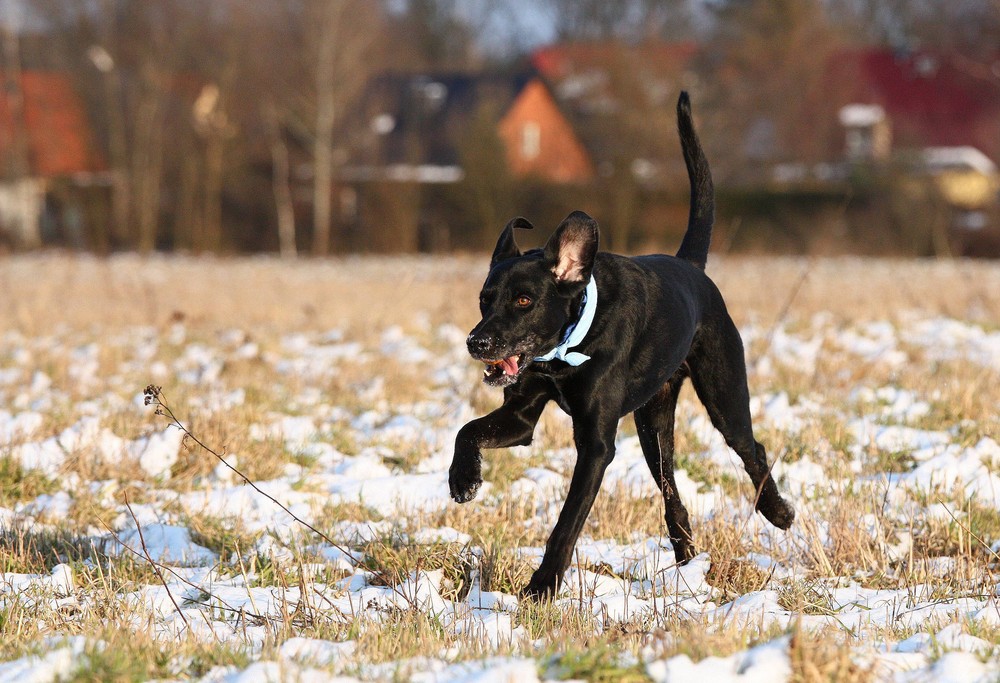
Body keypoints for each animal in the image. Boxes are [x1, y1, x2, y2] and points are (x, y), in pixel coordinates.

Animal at [450, 91, 792, 600]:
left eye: (524, 300)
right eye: (484, 299)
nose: (477, 341)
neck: (568, 349)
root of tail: (691, 267)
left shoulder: (595, 445)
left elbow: (567, 522)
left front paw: (542, 587)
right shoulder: (521, 416)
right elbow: (467, 430)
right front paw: (463, 480)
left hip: (725, 397)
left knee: (754, 450)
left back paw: (779, 512)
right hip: (654, 427)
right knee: (672, 496)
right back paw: (687, 565)